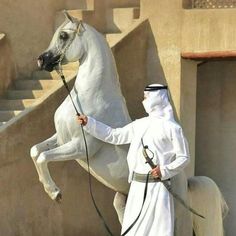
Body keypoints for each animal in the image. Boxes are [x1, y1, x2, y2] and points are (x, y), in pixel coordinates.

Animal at [30, 11, 228, 236]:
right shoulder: (61, 138)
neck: (91, 98)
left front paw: (55, 193)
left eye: (63, 35)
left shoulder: (79, 147)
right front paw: (50, 189)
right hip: (123, 203)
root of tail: (186, 184)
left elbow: (44, 157)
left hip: (179, 220)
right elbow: (35, 151)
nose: (41, 60)